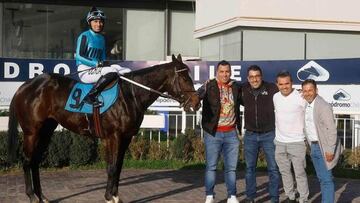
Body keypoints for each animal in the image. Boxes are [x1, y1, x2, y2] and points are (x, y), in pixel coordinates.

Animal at [7, 54, 201, 203]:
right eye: (185, 78)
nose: (196, 103)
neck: (130, 94)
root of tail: (25, 86)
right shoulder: (114, 136)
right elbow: (112, 167)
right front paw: (110, 197)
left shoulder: (126, 137)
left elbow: (118, 166)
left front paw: (115, 195)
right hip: (31, 132)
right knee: (27, 160)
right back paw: (32, 196)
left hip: (46, 130)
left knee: (35, 161)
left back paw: (42, 196)